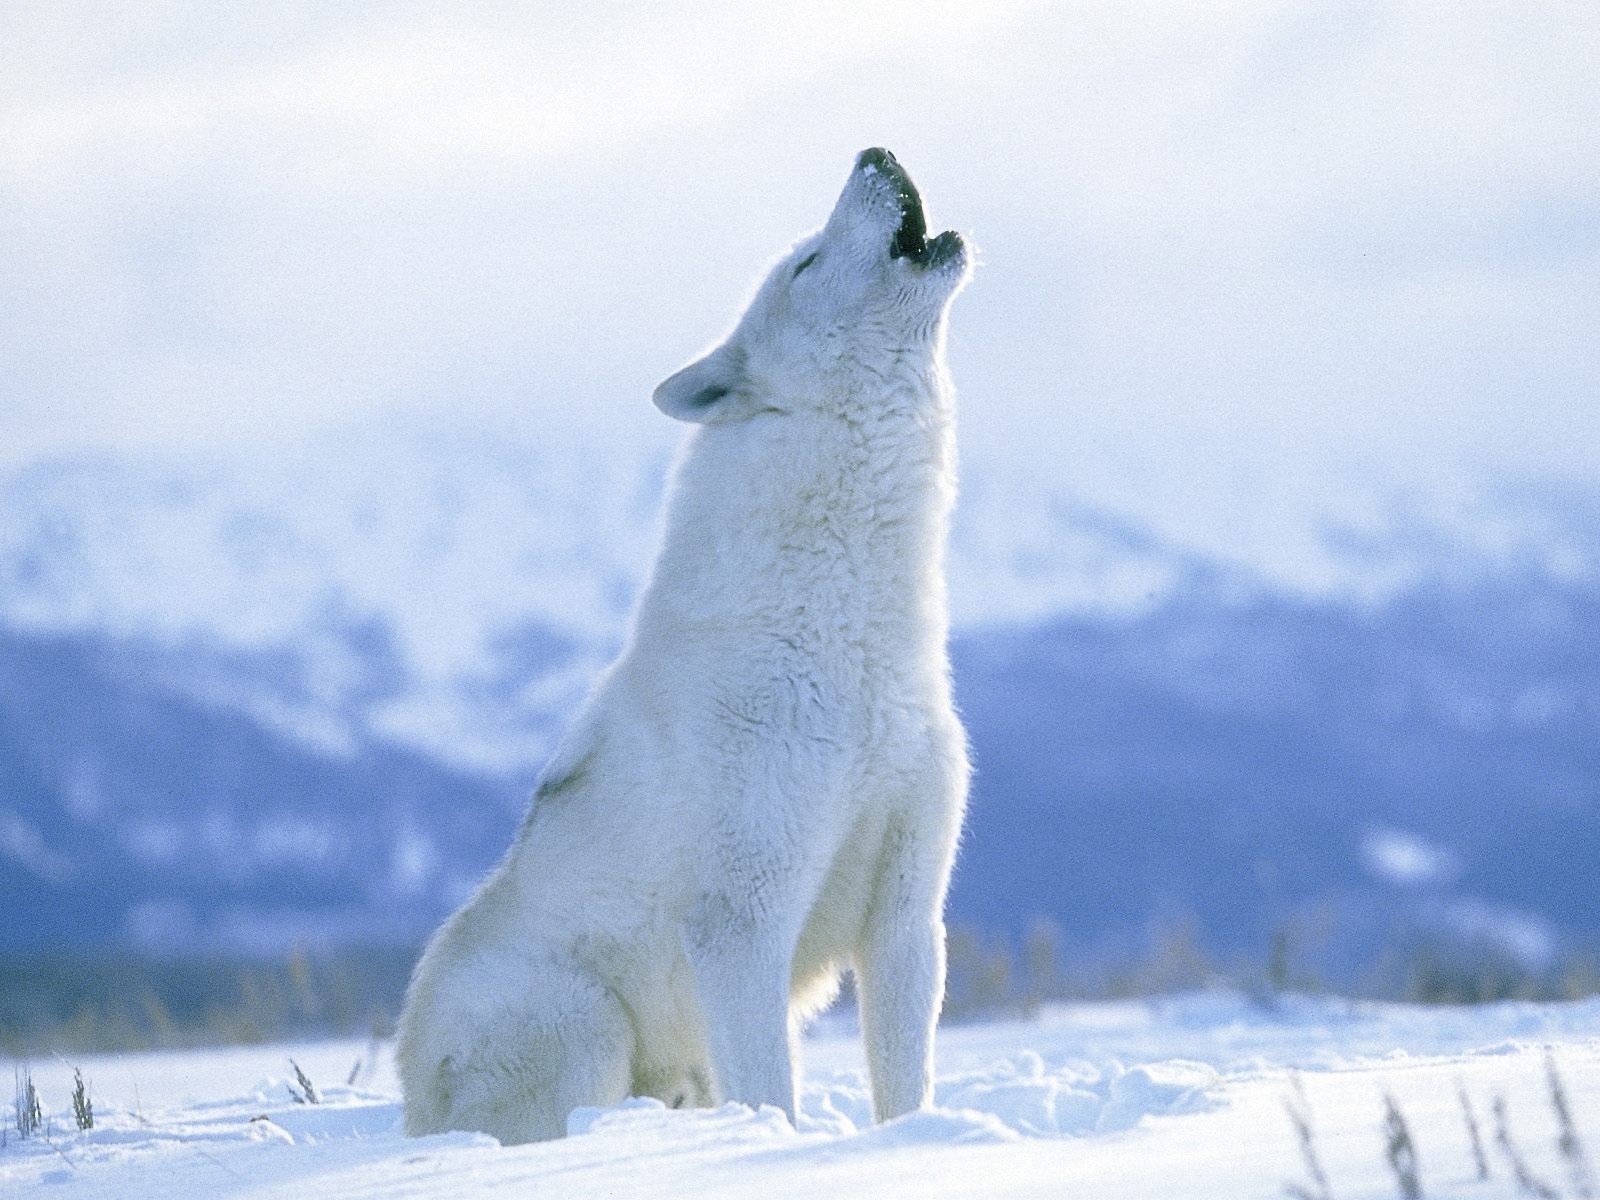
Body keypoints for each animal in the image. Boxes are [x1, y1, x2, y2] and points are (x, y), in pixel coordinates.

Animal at [396, 147, 972, 1144]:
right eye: (806, 265)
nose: (877, 152)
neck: (851, 645)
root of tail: (406, 1098)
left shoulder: (907, 916)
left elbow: (906, 1089)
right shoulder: (743, 923)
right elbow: (773, 1090)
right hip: (585, 1025)